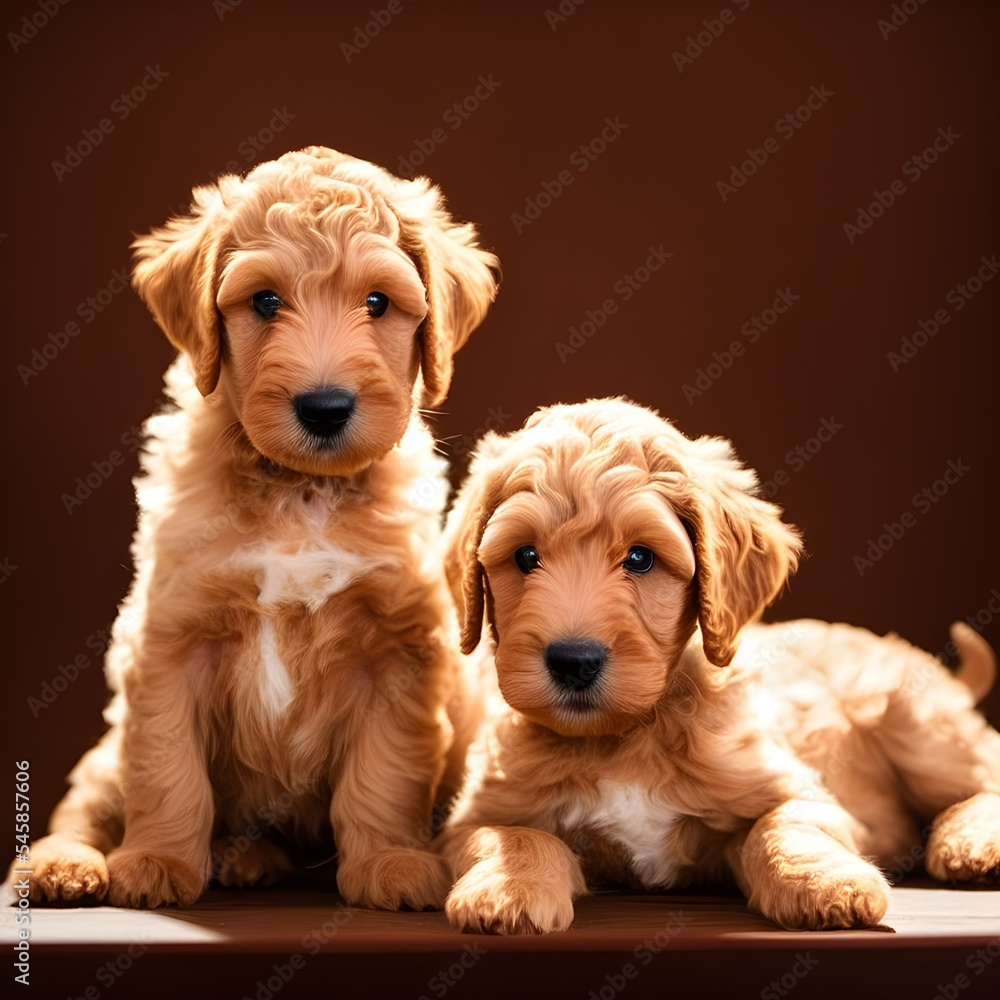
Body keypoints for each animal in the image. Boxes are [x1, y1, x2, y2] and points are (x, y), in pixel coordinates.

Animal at [26, 146, 500, 916]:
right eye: (265, 302)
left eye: (378, 303)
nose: (325, 407)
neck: (299, 493)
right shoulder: (169, 640)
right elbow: (166, 768)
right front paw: (157, 861)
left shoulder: (399, 653)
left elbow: (384, 774)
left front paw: (392, 863)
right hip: (103, 752)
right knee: (85, 806)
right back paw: (65, 865)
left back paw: (248, 857)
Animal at [442, 396, 1000, 928]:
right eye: (525, 556)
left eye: (640, 558)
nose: (573, 660)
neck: (622, 738)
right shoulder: (477, 813)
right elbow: (513, 835)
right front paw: (507, 891)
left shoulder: (800, 790)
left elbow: (783, 825)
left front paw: (827, 885)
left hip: (915, 722)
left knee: (981, 772)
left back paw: (971, 844)